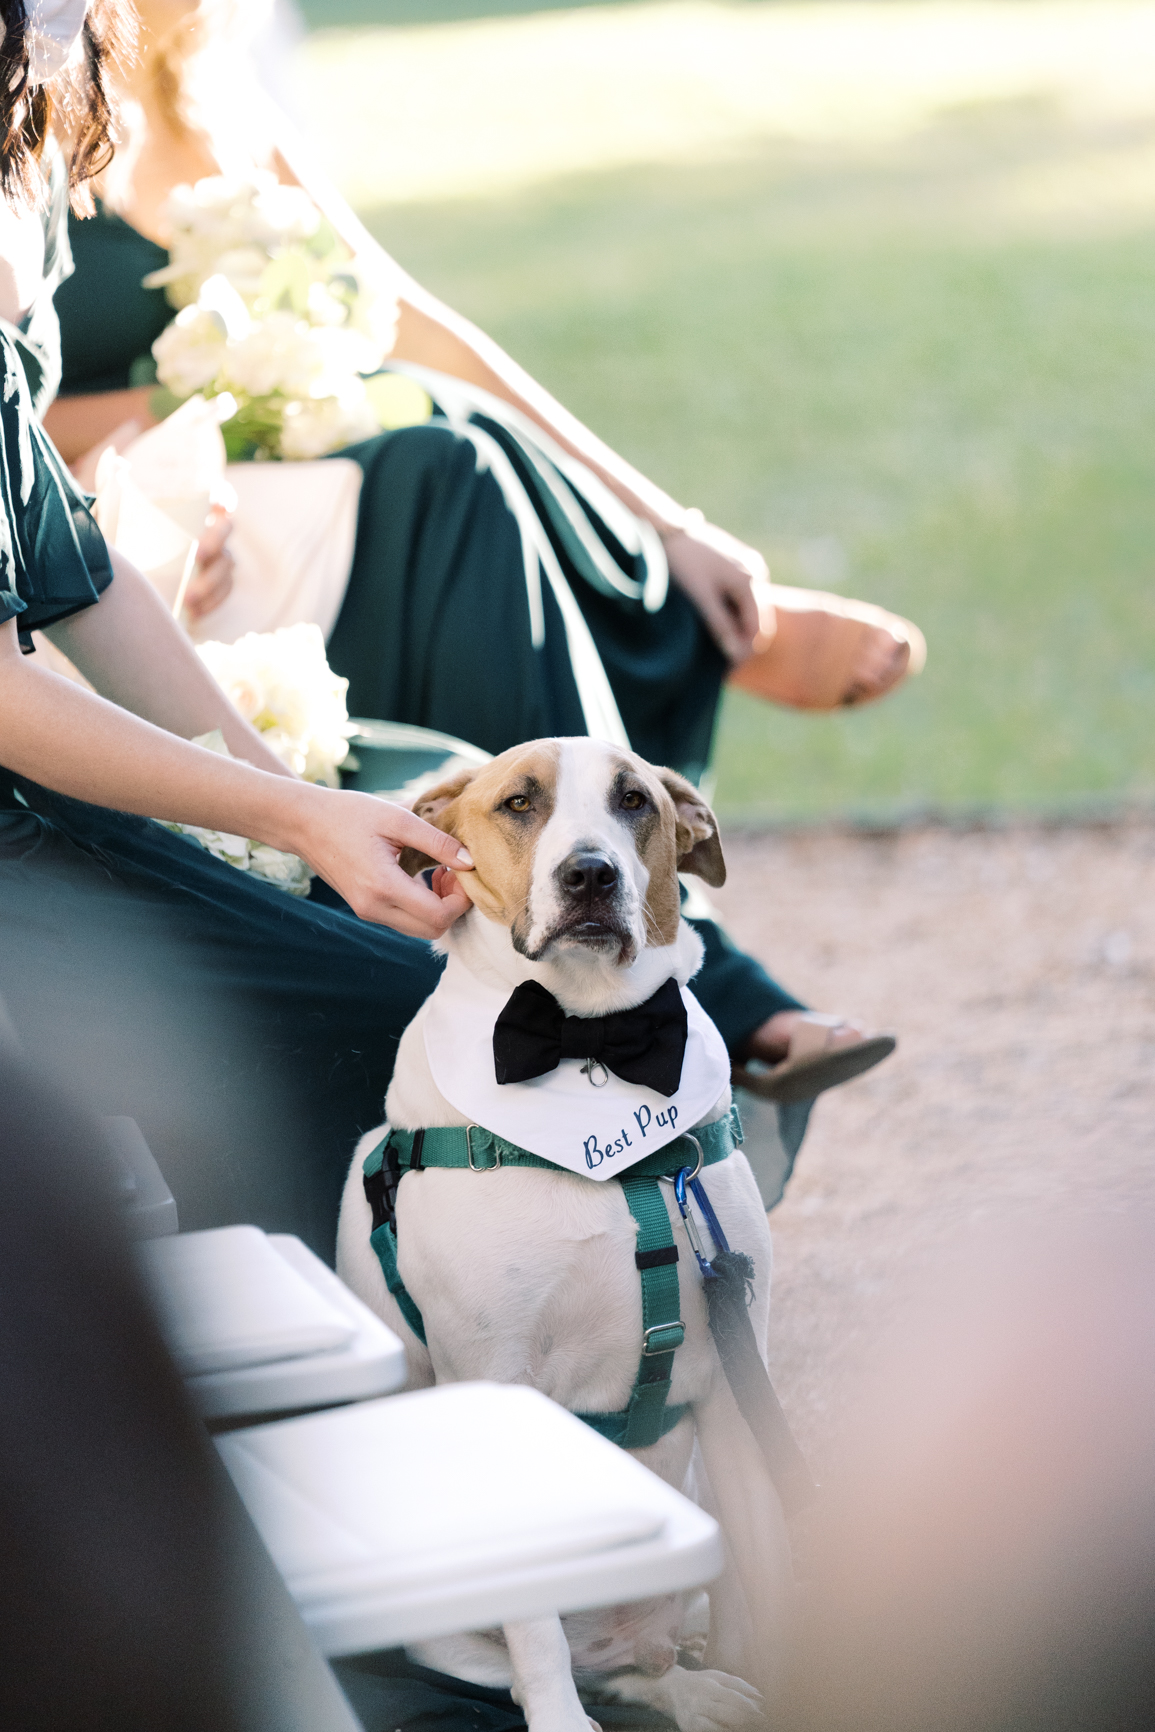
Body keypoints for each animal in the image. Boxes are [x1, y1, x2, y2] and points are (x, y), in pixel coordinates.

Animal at [334, 737, 796, 1732]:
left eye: (634, 802)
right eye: (518, 803)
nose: (590, 874)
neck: (591, 1037)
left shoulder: (737, 1373)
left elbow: (766, 1580)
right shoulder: (495, 1383)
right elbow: (536, 1638)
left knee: (655, 1656)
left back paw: (696, 1686)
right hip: (441, 1633)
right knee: (559, 1666)